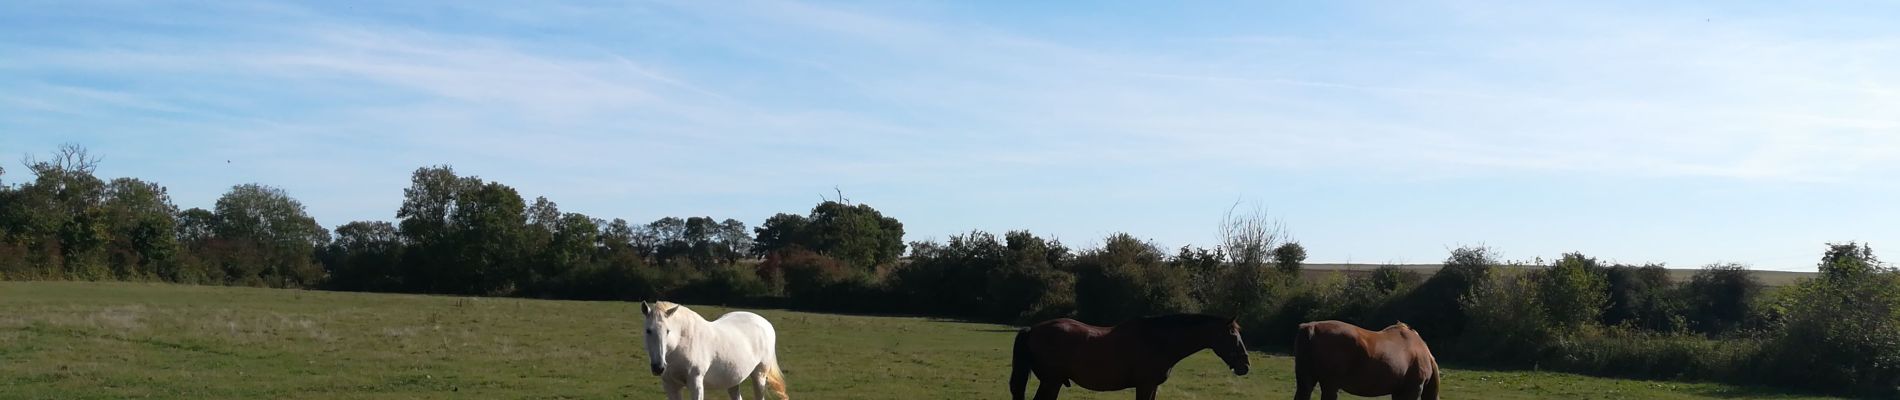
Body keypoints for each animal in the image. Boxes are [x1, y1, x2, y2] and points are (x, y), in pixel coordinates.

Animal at [638, 299, 786, 400]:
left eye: (668, 331)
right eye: (648, 330)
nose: (658, 367)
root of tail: (766, 324)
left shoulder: (696, 382)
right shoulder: (670, 385)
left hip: (759, 375)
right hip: (733, 379)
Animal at [1003, 314, 1254, 398]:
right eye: (1233, 335)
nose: (1245, 365)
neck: (1158, 340)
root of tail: (1032, 329)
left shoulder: (1151, 386)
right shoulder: (1144, 385)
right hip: (1051, 382)